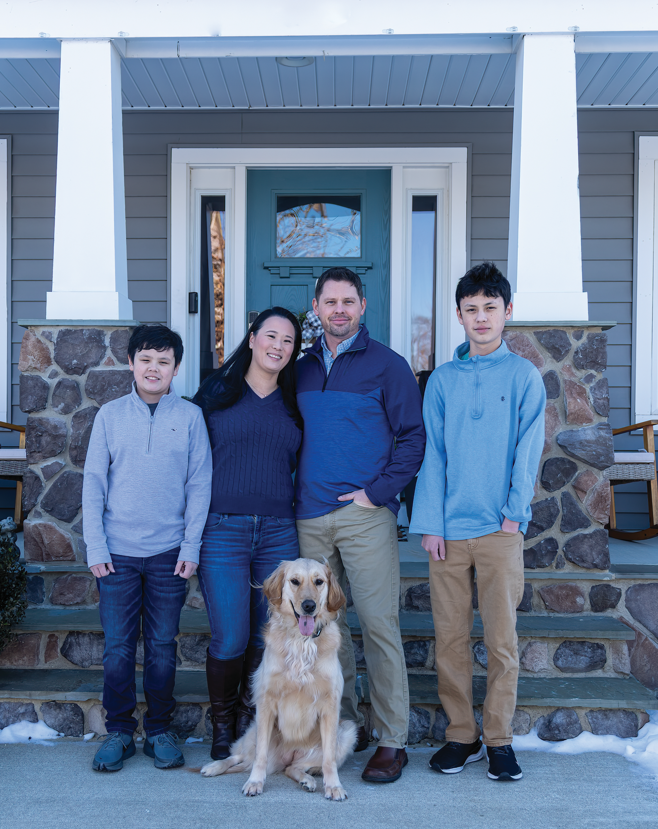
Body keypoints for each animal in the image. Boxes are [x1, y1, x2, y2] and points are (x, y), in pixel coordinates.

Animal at [200, 558, 357, 800]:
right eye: (295, 581)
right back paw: (214, 766)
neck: (301, 642)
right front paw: (255, 782)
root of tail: (287, 756)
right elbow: (260, 756)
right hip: (252, 730)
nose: (309, 605)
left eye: (319, 582)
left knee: (293, 768)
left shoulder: (330, 706)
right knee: (240, 756)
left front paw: (334, 786)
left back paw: (307, 780)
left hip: (346, 732)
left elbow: (329, 760)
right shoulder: (266, 703)